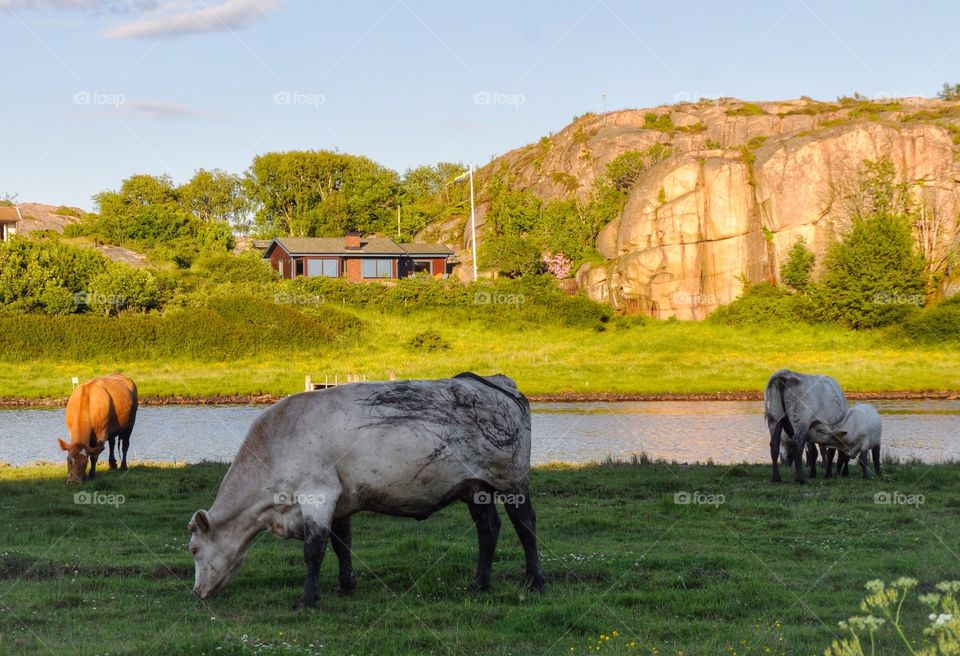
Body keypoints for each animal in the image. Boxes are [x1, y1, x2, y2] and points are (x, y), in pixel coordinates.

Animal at [188, 373, 544, 609]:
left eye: (193, 549)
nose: (196, 593)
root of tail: (493, 381)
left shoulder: (318, 493)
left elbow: (314, 549)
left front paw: (307, 599)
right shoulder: (341, 500)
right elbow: (341, 545)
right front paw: (346, 587)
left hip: (511, 480)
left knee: (525, 526)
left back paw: (535, 582)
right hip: (475, 487)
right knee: (489, 528)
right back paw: (478, 585)